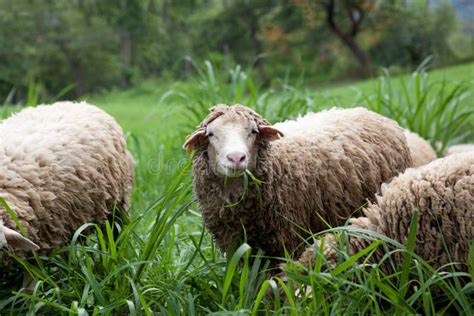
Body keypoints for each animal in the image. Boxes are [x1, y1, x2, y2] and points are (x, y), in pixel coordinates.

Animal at [183, 103, 412, 262]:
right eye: (211, 134)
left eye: (253, 132)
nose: (236, 158)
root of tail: (370, 112)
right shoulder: (237, 247)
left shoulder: (288, 241)